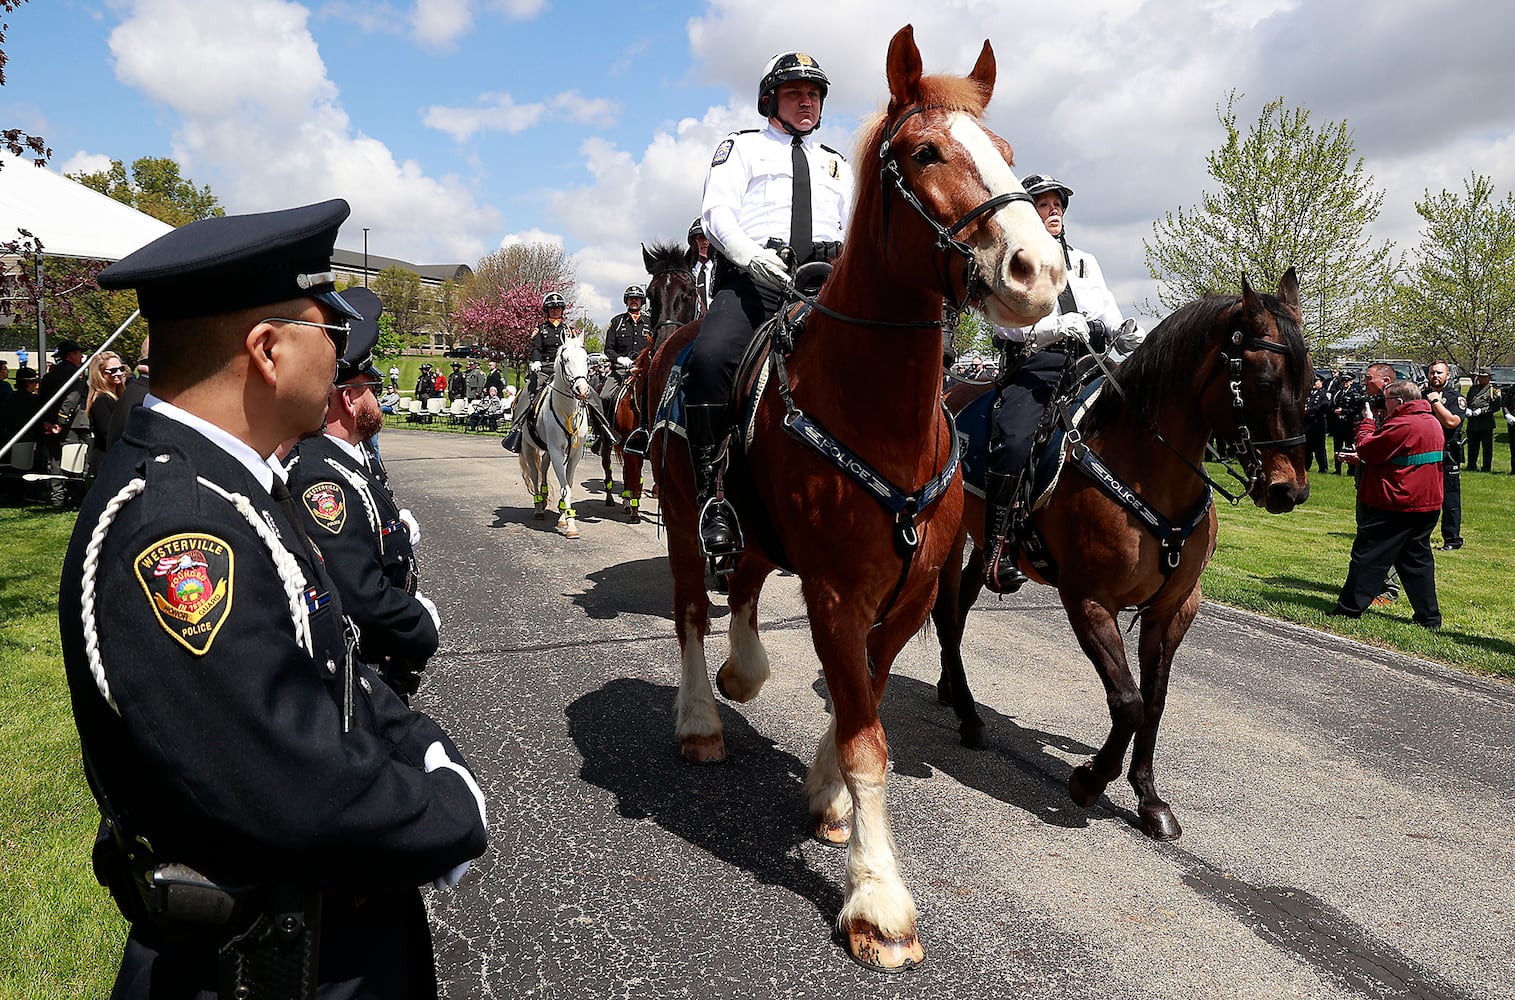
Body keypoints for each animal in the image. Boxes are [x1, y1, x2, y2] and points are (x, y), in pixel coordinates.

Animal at [521, 333, 590, 539]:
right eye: (566, 359)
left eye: (586, 359)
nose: (582, 390)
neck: (567, 410)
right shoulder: (557, 451)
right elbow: (565, 487)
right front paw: (571, 525)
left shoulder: (574, 453)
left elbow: (568, 484)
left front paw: (563, 517)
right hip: (528, 446)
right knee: (534, 474)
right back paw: (538, 507)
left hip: (548, 451)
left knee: (543, 468)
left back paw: (544, 499)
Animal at [593, 242, 705, 524]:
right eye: (651, 295)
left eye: (689, 292)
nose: (665, 343)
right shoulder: (635, 445)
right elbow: (633, 477)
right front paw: (633, 508)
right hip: (608, 442)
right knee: (610, 468)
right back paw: (614, 498)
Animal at [645, 25, 1060, 969]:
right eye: (925, 151)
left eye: (1005, 149)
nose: (1038, 269)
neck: (882, 413)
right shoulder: (838, 594)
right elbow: (866, 735)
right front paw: (878, 901)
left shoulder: (904, 599)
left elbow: (857, 703)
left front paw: (829, 800)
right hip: (685, 517)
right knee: (691, 609)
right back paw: (699, 717)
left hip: (759, 534)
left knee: (744, 586)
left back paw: (744, 672)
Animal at [927, 269, 1308, 842]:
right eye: (1263, 382)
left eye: (1309, 381)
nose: (1291, 491)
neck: (1147, 470)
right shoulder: (1088, 600)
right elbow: (1127, 702)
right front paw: (1089, 780)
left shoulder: (1175, 607)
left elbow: (1153, 701)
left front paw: (1149, 798)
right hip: (950, 544)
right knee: (948, 618)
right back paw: (970, 718)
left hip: (984, 550)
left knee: (964, 606)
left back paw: (953, 691)